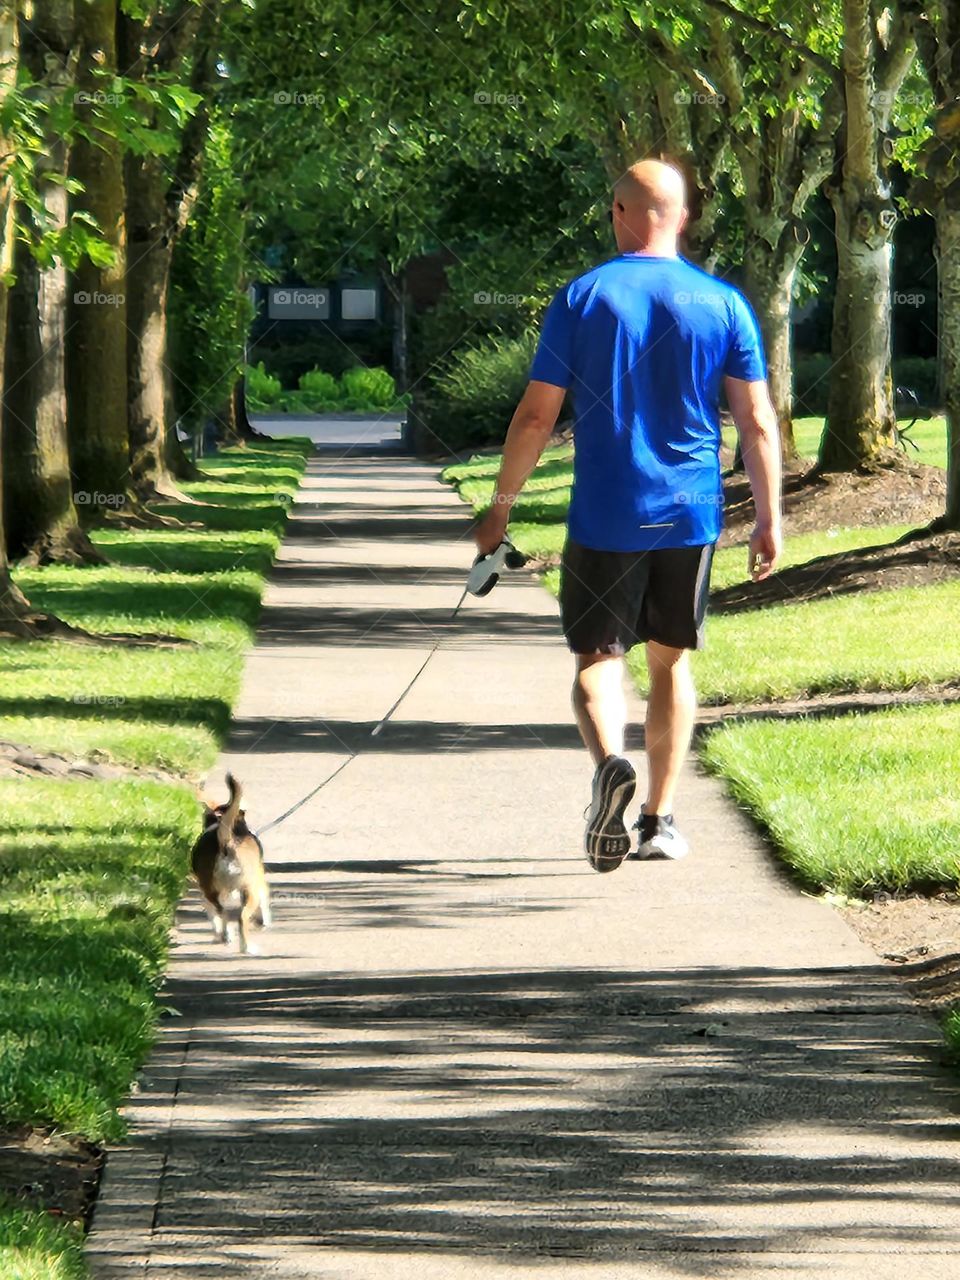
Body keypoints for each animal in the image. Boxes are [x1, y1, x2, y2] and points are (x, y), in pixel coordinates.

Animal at [193, 768, 272, 952]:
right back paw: (245, 946)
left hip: (212, 892)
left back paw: (228, 937)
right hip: (248, 890)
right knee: (238, 917)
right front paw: (264, 922)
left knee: (222, 913)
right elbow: (264, 901)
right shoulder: (260, 881)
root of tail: (227, 842)